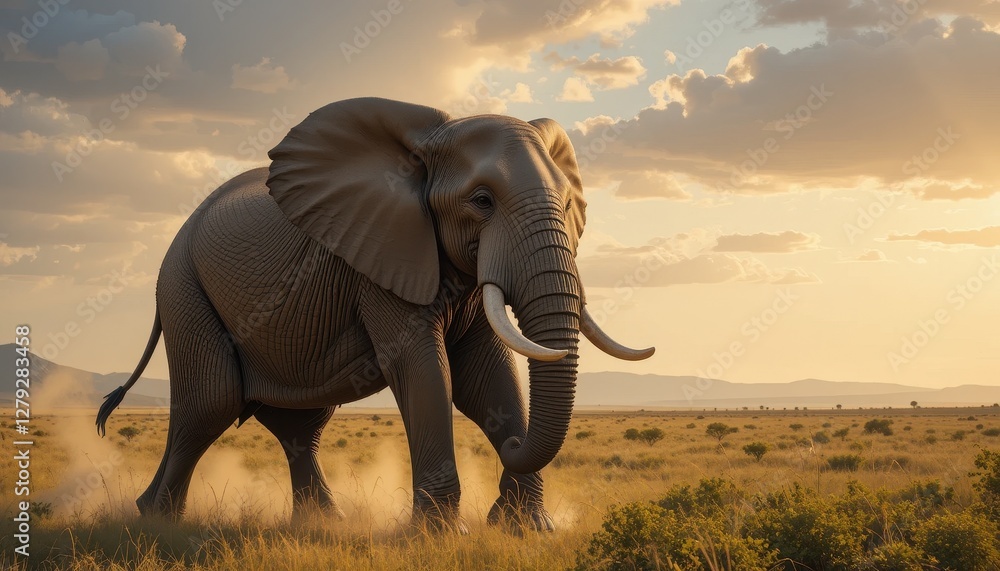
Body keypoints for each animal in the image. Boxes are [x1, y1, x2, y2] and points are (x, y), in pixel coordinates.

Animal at [96, 97, 654, 532]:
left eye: (569, 204)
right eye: (482, 201)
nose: (514, 440)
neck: (428, 143)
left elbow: (485, 374)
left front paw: (526, 529)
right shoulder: (378, 256)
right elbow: (424, 369)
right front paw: (441, 537)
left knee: (299, 424)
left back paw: (320, 524)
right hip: (183, 288)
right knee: (210, 404)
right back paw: (160, 522)